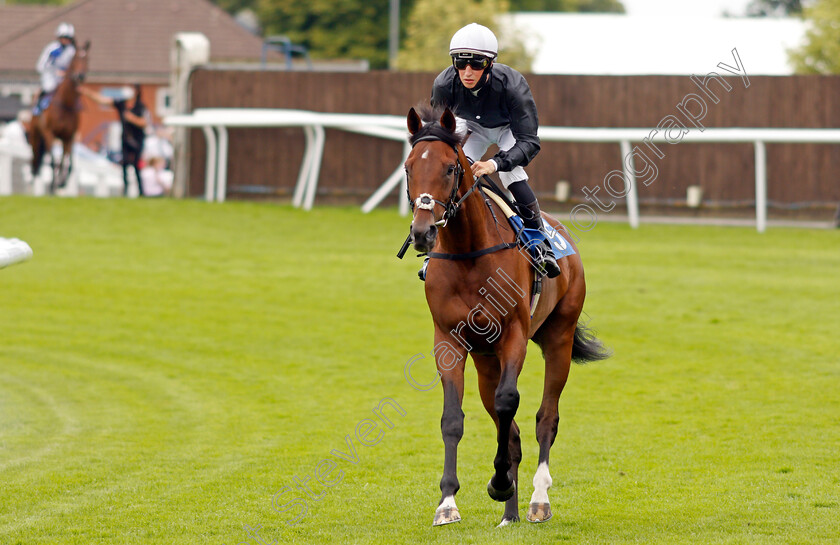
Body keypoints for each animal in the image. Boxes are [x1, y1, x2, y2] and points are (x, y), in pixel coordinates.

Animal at [30, 40, 90, 193]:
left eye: (87, 59)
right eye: (75, 57)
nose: (80, 76)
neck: (65, 104)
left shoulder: (68, 136)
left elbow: (66, 163)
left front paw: (62, 182)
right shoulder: (49, 133)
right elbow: (52, 161)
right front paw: (52, 186)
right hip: (35, 136)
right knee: (35, 160)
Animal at [406, 105, 612, 528]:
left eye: (449, 168)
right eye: (408, 168)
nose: (422, 232)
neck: (468, 253)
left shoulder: (514, 335)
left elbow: (508, 402)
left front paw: (499, 483)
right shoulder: (449, 341)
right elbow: (454, 418)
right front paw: (447, 502)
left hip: (558, 338)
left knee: (545, 417)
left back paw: (537, 500)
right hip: (486, 360)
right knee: (512, 429)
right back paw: (510, 514)